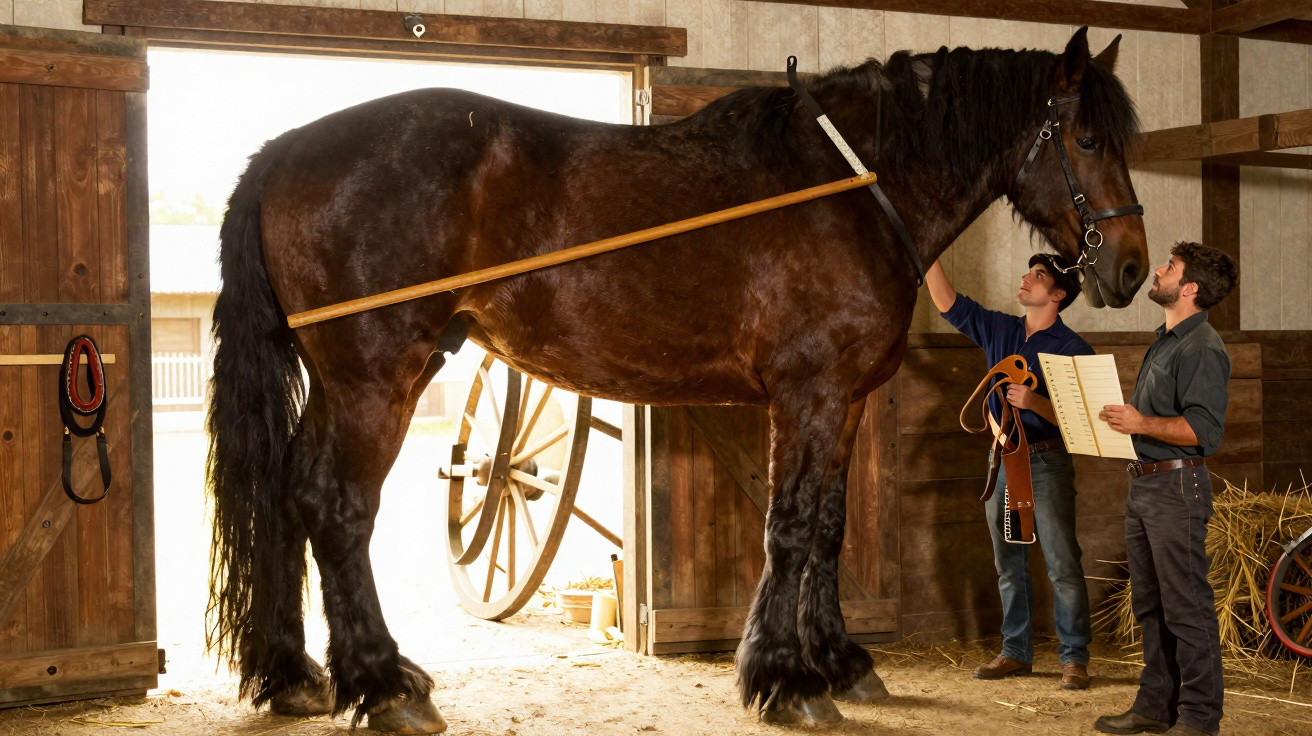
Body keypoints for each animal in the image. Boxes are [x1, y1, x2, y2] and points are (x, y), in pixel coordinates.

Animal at [206, 26, 1146, 733]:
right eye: (1087, 139)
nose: (1132, 268)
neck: (851, 189)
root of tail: (286, 152)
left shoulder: (841, 403)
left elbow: (830, 528)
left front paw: (839, 662)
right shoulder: (807, 395)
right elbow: (790, 527)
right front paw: (784, 680)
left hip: (341, 384)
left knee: (288, 497)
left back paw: (299, 675)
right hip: (374, 379)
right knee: (335, 506)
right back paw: (381, 683)